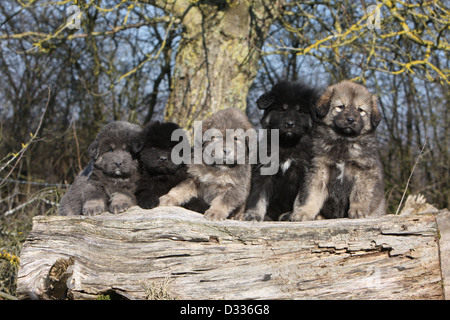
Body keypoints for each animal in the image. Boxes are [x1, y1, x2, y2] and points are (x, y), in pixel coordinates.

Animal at [244, 80, 318, 220]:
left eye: (300, 112)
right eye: (282, 110)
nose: (290, 124)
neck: (286, 144)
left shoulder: (305, 172)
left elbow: (301, 198)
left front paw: (296, 215)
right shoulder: (263, 170)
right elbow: (258, 195)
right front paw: (253, 214)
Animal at [288, 79, 386, 220]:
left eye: (360, 110)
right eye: (341, 107)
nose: (350, 120)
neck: (343, 140)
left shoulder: (364, 170)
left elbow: (359, 193)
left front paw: (358, 210)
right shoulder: (319, 169)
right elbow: (311, 194)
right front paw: (304, 212)